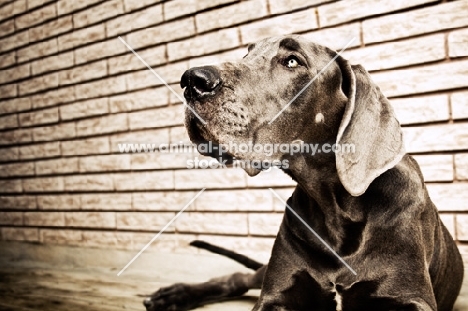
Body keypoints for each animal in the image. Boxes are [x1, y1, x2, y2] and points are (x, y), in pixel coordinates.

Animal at [144, 35, 464, 310]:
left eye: (292, 61)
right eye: (247, 54)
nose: (192, 80)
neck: (336, 210)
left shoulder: (410, 298)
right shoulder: (275, 294)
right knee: (238, 278)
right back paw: (175, 295)